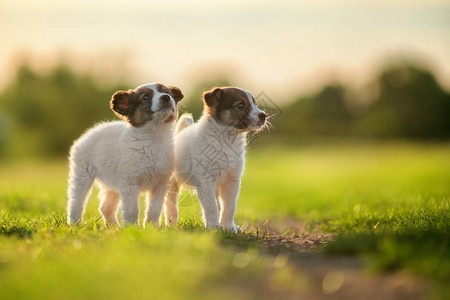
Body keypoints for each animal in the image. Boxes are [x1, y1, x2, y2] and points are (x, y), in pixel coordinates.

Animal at [67, 83, 184, 226]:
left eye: (167, 92)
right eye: (145, 97)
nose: (166, 97)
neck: (154, 139)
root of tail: (87, 134)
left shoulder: (160, 184)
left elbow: (155, 209)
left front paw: (152, 227)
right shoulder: (129, 184)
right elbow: (132, 209)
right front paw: (132, 227)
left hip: (112, 184)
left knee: (106, 207)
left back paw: (114, 227)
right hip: (82, 176)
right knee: (76, 202)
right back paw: (74, 223)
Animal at [163, 86, 266, 232]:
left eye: (255, 104)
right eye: (240, 105)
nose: (264, 115)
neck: (226, 140)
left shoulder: (232, 181)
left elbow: (229, 206)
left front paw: (229, 227)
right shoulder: (206, 180)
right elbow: (211, 206)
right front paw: (214, 227)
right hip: (172, 182)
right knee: (170, 203)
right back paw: (171, 224)